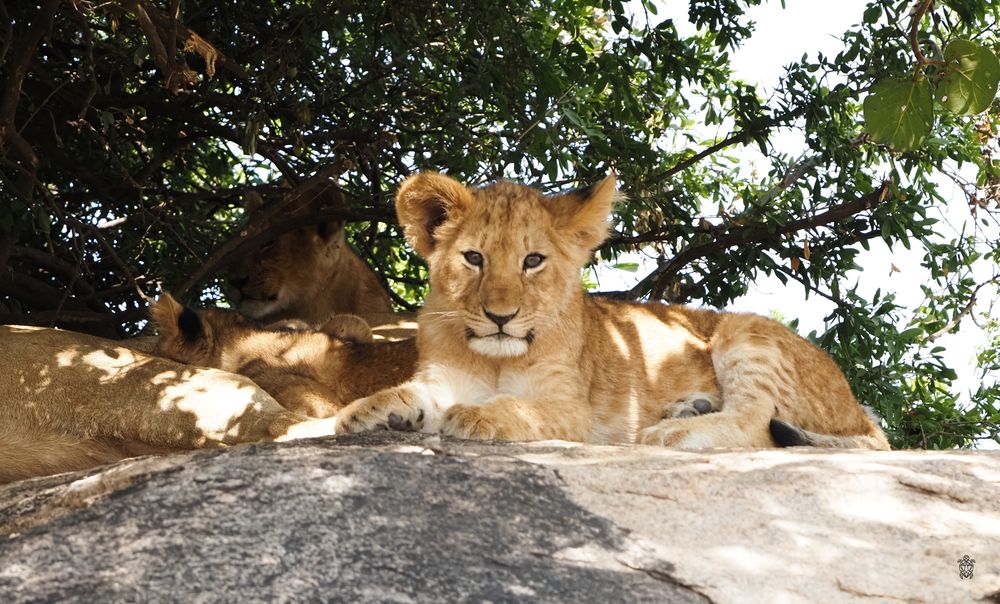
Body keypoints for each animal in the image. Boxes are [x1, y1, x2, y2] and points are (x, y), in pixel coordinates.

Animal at [330, 172, 890, 450]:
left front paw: (475, 415)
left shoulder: (571, 407)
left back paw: (671, 431)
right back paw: (689, 409)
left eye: (533, 261)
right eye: (474, 259)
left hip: (744, 330)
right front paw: (368, 412)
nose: (500, 317)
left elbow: (518, 407)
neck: (495, 357)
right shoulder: (442, 377)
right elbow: (410, 391)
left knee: (757, 421)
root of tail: (858, 410)